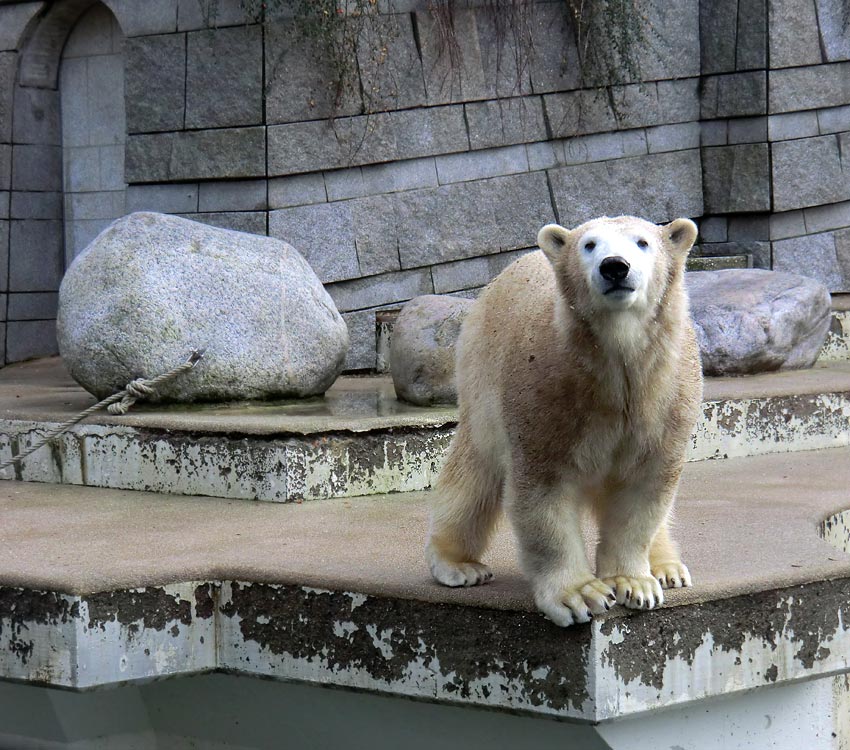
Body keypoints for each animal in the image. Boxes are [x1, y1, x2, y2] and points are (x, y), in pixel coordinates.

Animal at [428, 214, 700, 624]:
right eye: (589, 245)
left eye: (642, 242)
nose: (615, 266)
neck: (617, 368)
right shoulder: (548, 395)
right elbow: (544, 495)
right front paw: (580, 596)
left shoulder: (664, 399)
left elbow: (645, 490)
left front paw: (634, 584)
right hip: (481, 378)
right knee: (473, 474)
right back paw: (458, 565)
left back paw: (668, 568)